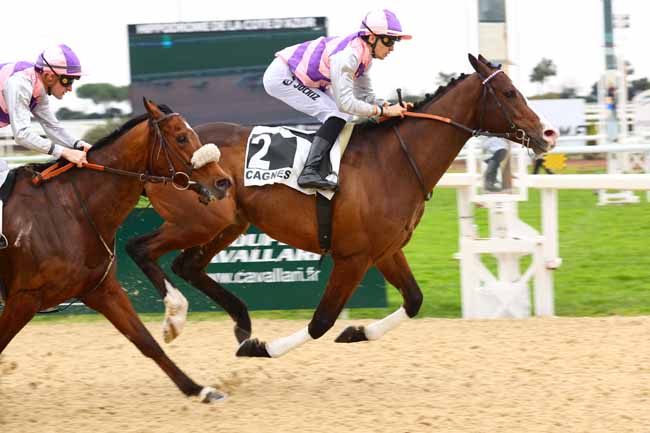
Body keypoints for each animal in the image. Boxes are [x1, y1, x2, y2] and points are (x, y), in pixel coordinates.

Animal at [0, 98, 233, 402]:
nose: (223, 182)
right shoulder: (24, 298)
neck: (70, 211)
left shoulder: (101, 289)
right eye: (182, 137)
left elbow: (146, 341)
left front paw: (198, 388)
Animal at [128, 54, 556, 358]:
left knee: (187, 265)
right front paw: (262, 349)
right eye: (508, 93)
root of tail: (155, 152)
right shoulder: (353, 256)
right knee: (141, 248)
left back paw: (241, 322)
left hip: (228, 223)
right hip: (198, 220)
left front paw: (356, 332)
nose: (547, 134)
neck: (396, 161)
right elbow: (321, 320)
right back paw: (176, 316)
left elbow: (414, 300)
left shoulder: (386, 250)